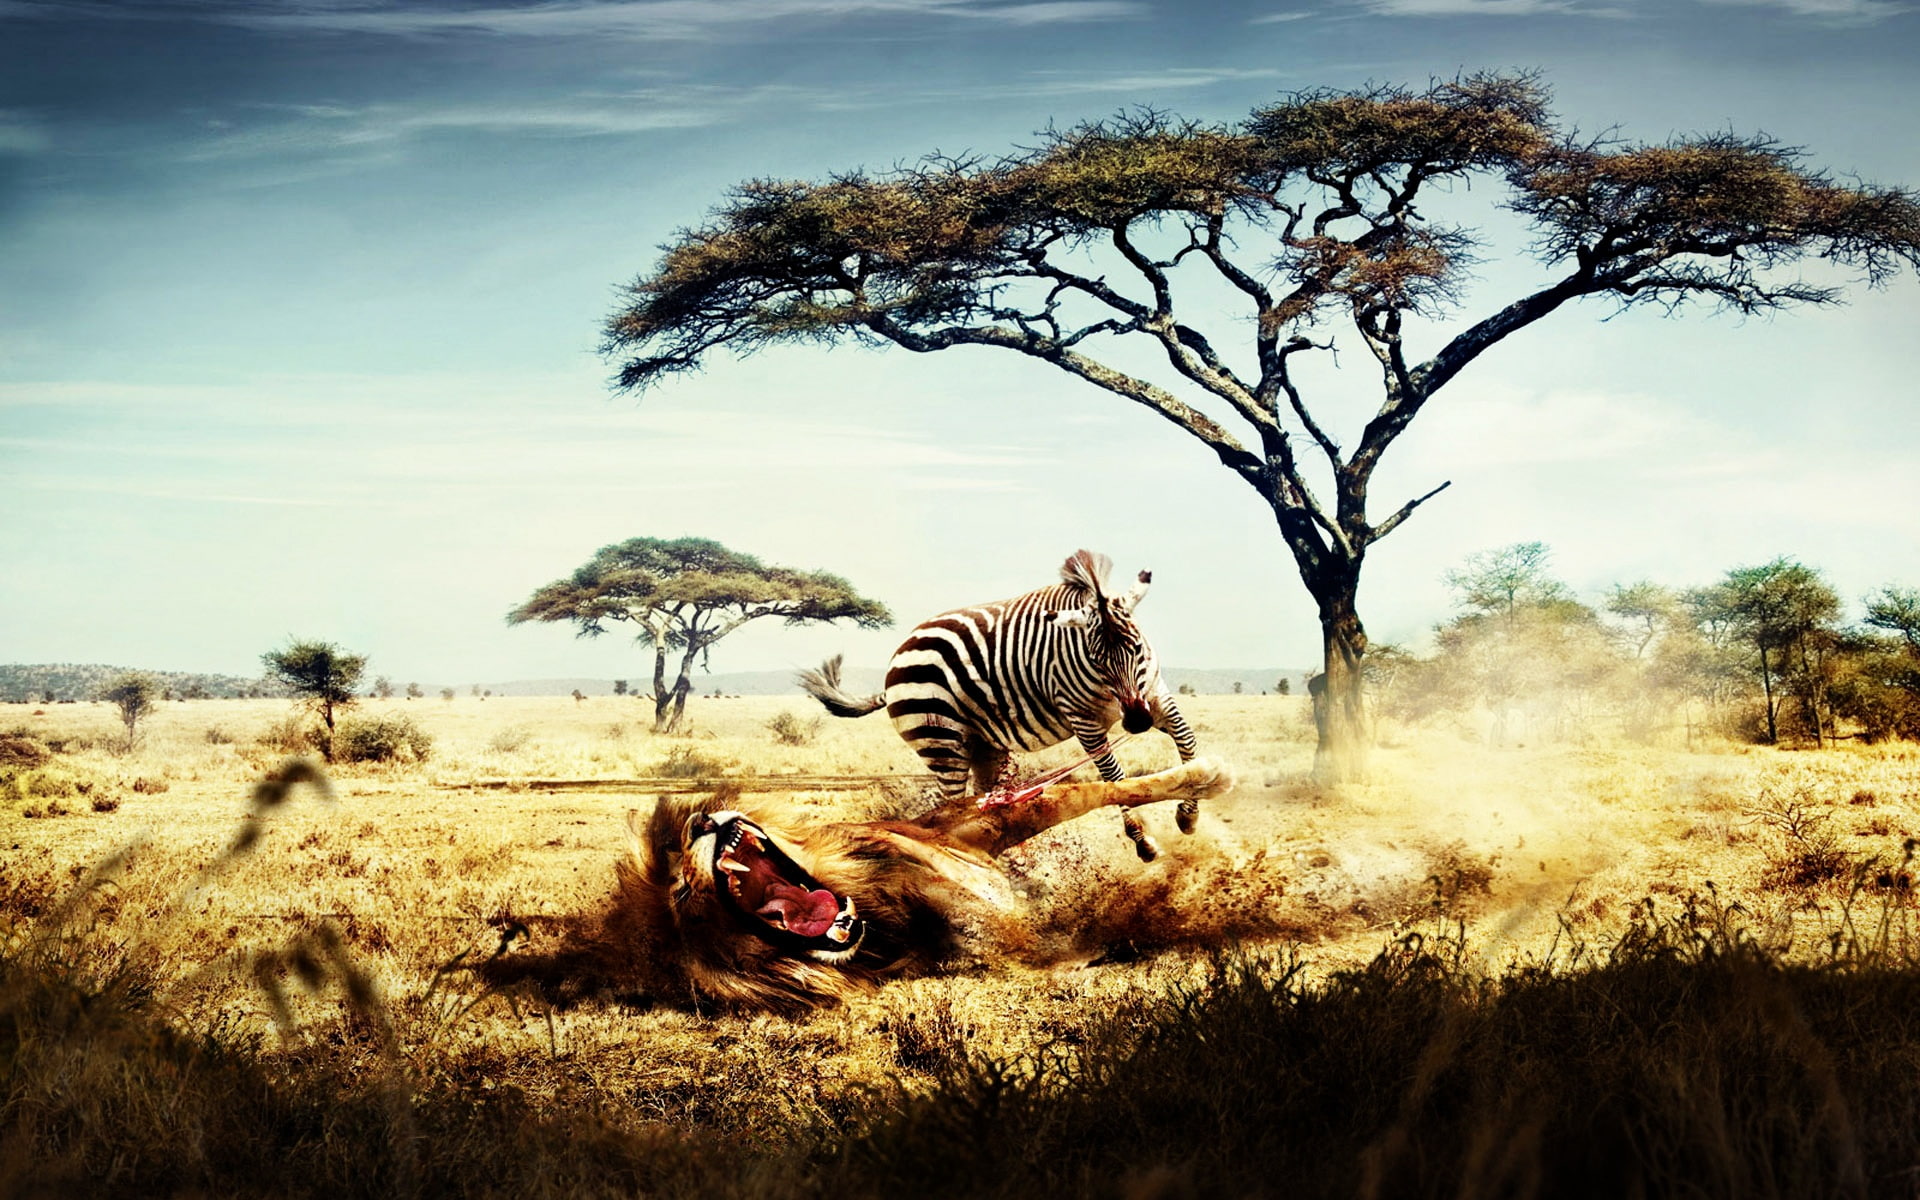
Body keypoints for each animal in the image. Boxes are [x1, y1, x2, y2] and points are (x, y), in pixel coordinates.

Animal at [609, 758, 1233, 1010]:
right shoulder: (982, 946)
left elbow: (1093, 790)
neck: (878, 914)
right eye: (682, 895)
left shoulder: (971, 824)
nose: (699, 823)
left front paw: (1204, 779)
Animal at [797, 549, 1201, 861]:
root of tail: (899, 654)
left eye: (1137, 648)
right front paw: (1144, 842)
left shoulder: (1154, 694)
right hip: (941, 742)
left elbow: (1188, 741)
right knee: (950, 806)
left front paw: (1188, 815)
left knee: (982, 804)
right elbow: (1116, 779)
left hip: (983, 745)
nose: (1136, 722)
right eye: (1097, 660)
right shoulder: (1083, 720)